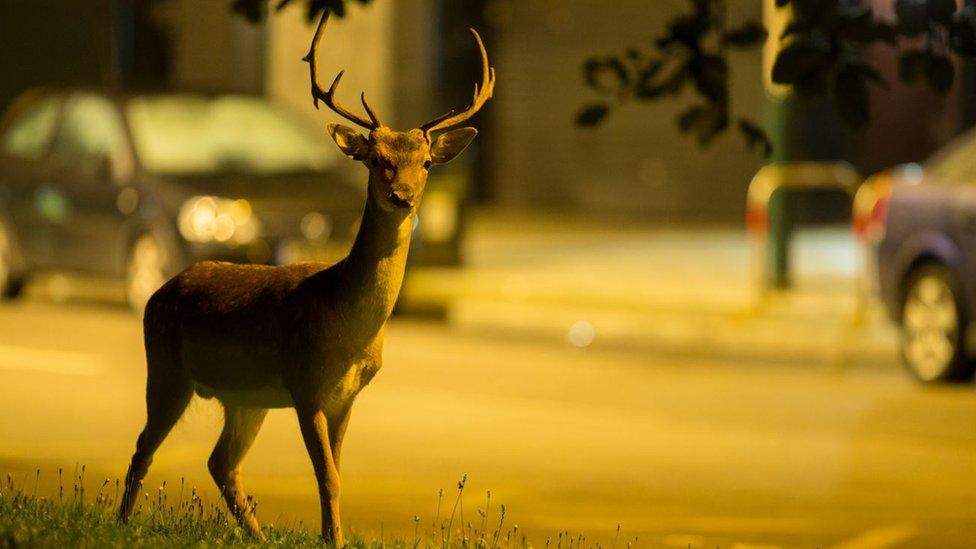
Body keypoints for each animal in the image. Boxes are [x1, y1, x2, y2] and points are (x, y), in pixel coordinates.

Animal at [117, 11, 492, 544]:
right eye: (377, 159)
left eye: (424, 162)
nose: (402, 196)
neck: (346, 326)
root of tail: (159, 291)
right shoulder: (305, 384)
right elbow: (327, 475)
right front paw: (332, 538)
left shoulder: (345, 397)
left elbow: (336, 471)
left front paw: (331, 535)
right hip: (167, 369)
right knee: (143, 448)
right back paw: (123, 522)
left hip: (243, 399)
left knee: (220, 463)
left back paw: (257, 535)